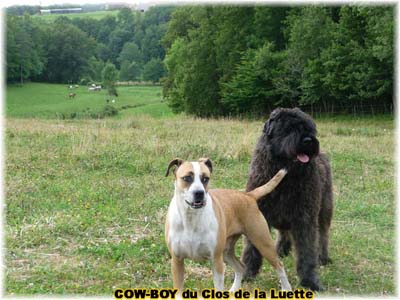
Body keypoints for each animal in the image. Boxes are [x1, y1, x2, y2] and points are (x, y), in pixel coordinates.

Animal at [164, 158, 292, 292]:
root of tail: (248, 196)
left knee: (279, 265)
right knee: (240, 267)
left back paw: (286, 288)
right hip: (226, 251)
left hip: (262, 242)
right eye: (187, 178)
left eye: (205, 178)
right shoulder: (177, 261)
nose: (199, 193)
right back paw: (233, 290)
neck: (190, 218)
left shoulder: (216, 260)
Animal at [242, 108, 332, 290]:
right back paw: (280, 250)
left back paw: (323, 257)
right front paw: (248, 273)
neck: (286, 178)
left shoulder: (305, 219)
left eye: (310, 128)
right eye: (289, 128)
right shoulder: (258, 213)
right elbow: (252, 248)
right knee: (284, 232)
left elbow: (307, 250)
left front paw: (309, 280)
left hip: (324, 212)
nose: (308, 140)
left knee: (323, 235)